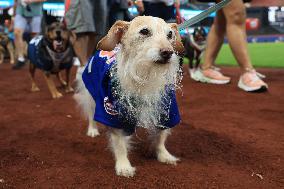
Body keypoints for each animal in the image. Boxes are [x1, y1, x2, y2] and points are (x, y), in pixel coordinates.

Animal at [74, 16, 184, 177]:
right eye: (144, 31)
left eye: (170, 34)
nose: (168, 52)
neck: (145, 76)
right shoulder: (112, 115)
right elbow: (120, 145)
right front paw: (124, 166)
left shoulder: (167, 113)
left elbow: (160, 137)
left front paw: (164, 155)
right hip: (91, 97)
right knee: (90, 114)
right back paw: (92, 130)